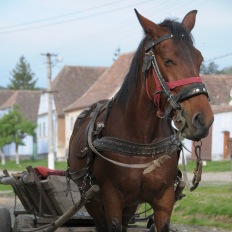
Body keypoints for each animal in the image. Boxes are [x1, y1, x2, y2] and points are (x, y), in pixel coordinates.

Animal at [67, 9, 214, 232]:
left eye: (199, 59)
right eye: (168, 60)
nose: (203, 119)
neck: (142, 137)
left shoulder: (164, 198)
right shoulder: (111, 198)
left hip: (130, 205)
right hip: (91, 199)